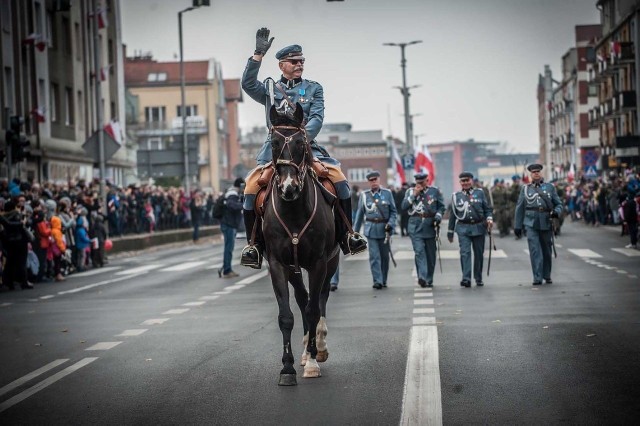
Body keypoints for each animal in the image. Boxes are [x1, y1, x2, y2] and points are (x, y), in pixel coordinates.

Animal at [262, 104, 340, 386]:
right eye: (273, 143)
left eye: (300, 143)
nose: (288, 188)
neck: (294, 210)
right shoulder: (278, 265)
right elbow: (287, 316)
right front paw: (288, 368)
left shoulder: (318, 263)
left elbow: (314, 309)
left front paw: (314, 362)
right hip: (295, 269)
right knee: (303, 297)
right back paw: (307, 349)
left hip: (331, 261)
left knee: (321, 298)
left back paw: (320, 346)